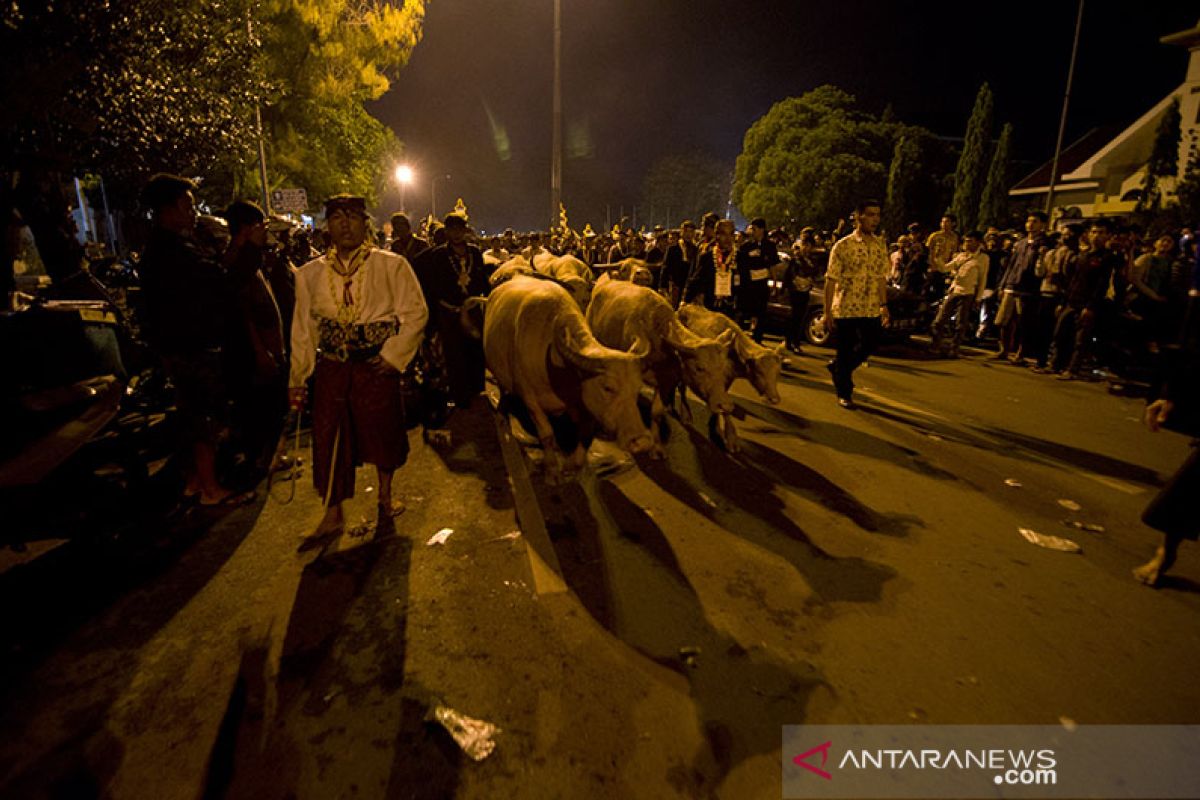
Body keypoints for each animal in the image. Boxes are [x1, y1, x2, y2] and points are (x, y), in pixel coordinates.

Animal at [482, 275, 652, 482]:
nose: (642, 442)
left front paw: (573, 466)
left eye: (637, 389)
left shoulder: (585, 406)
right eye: (607, 387)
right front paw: (552, 470)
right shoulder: (530, 399)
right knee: (503, 388)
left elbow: (585, 436)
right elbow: (546, 434)